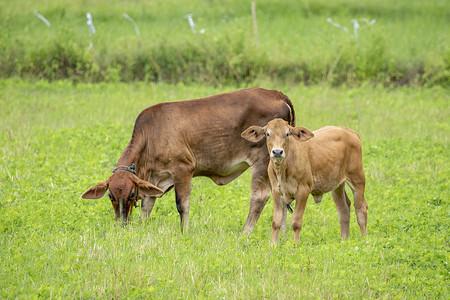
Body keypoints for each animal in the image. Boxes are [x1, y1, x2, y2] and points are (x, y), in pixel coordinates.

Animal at [81, 88, 296, 233]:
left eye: (132, 194)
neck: (150, 136)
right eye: (110, 196)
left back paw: (245, 232)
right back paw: (282, 233)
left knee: (259, 196)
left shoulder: (182, 169)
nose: (122, 224)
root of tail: (277, 94)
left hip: (263, 160)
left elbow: (182, 204)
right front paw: (142, 226)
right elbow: (147, 205)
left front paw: (184, 232)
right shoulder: (155, 178)